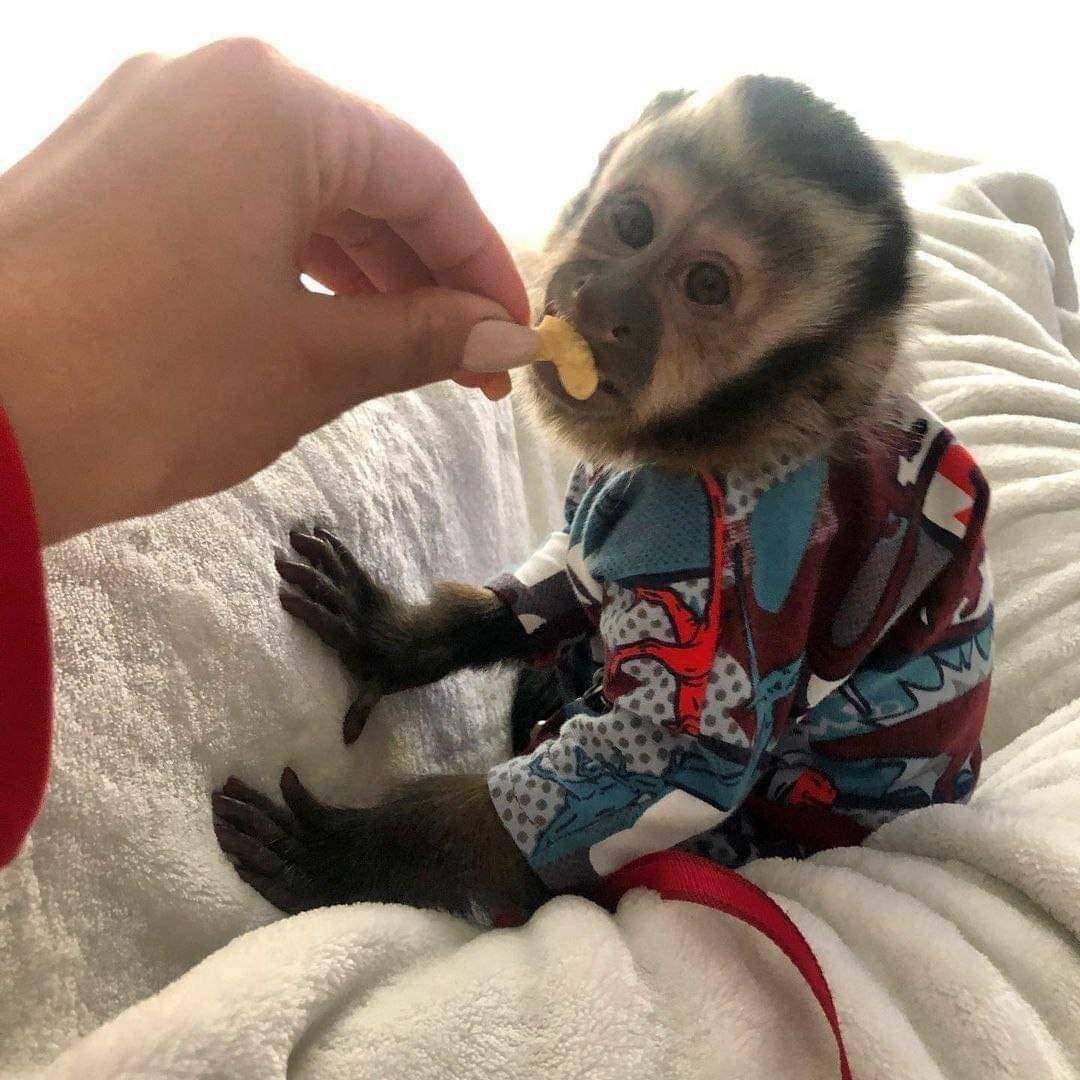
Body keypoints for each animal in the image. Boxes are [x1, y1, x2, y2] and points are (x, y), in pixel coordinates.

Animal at [213, 76, 994, 925]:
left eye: (706, 286)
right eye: (632, 224)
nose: (605, 301)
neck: (711, 446)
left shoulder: (733, 561)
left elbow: (659, 770)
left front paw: (356, 855)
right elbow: (567, 580)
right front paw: (390, 639)